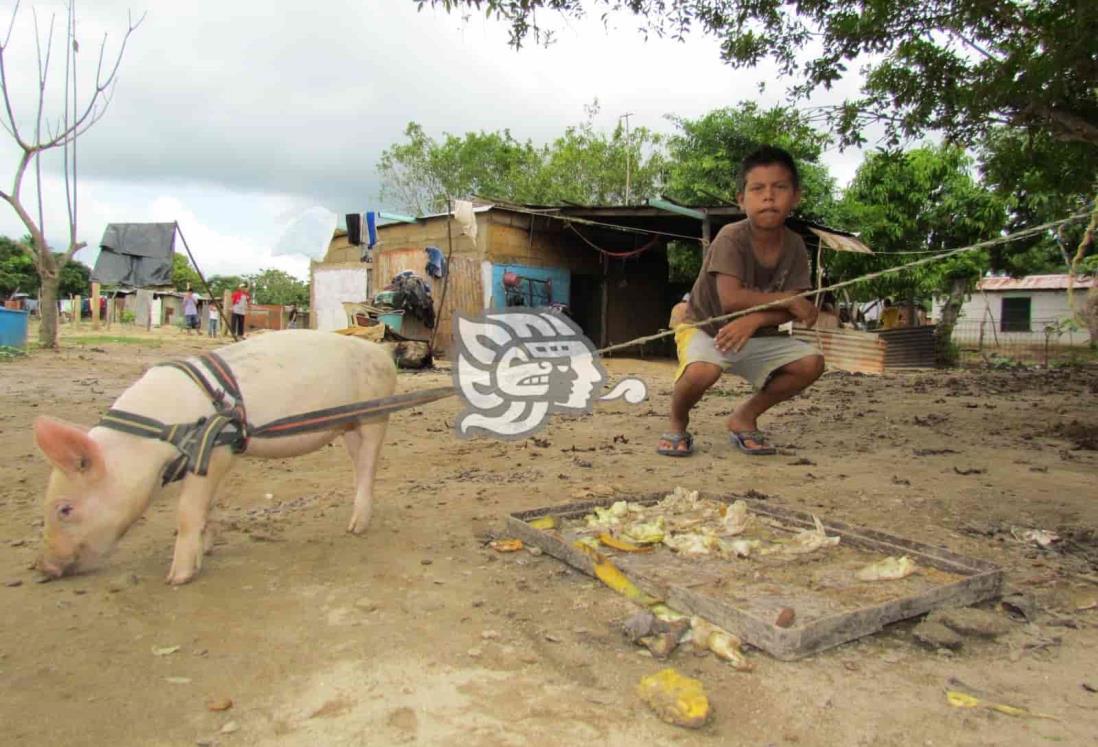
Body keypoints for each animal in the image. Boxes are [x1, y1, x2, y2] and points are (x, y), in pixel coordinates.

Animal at [34, 331, 404, 584]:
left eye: (64, 509)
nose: (45, 568)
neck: (156, 436)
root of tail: (382, 353)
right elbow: (206, 507)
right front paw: (208, 548)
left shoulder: (215, 451)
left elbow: (187, 511)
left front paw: (177, 578)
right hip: (349, 424)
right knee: (358, 464)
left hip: (375, 413)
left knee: (369, 464)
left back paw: (355, 529)